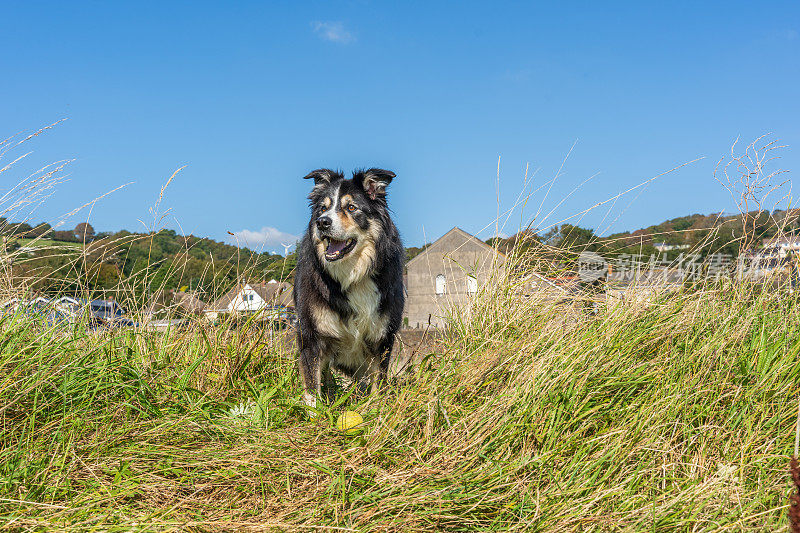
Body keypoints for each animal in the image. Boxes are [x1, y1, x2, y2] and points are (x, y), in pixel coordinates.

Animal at [296, 167, 406, 408]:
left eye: (351, 208)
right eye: (323, 208)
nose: (322, 222)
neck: (353, 275)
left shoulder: (382, 338)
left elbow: (378, 384)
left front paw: (374, 411)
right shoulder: (312, 336)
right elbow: (312, 387)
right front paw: (316, 414)